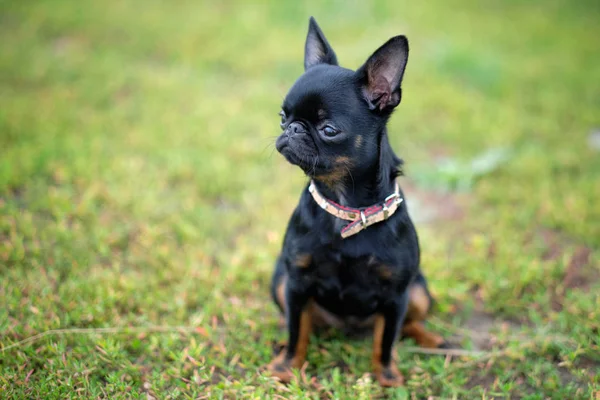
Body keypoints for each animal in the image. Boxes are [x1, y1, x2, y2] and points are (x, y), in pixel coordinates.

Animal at [268, 17, 446, 386]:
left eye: (329, 129)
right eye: (282, 115)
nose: (292, 129)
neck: (346, 208)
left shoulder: (396, 295)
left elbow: (386, 339)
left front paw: (387, 376)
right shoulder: (296, 283)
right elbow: (296, 330)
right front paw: (286, 365)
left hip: (419, 292)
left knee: (409, 323)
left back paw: (430, 338)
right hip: (279, 282)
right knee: (302, 321)